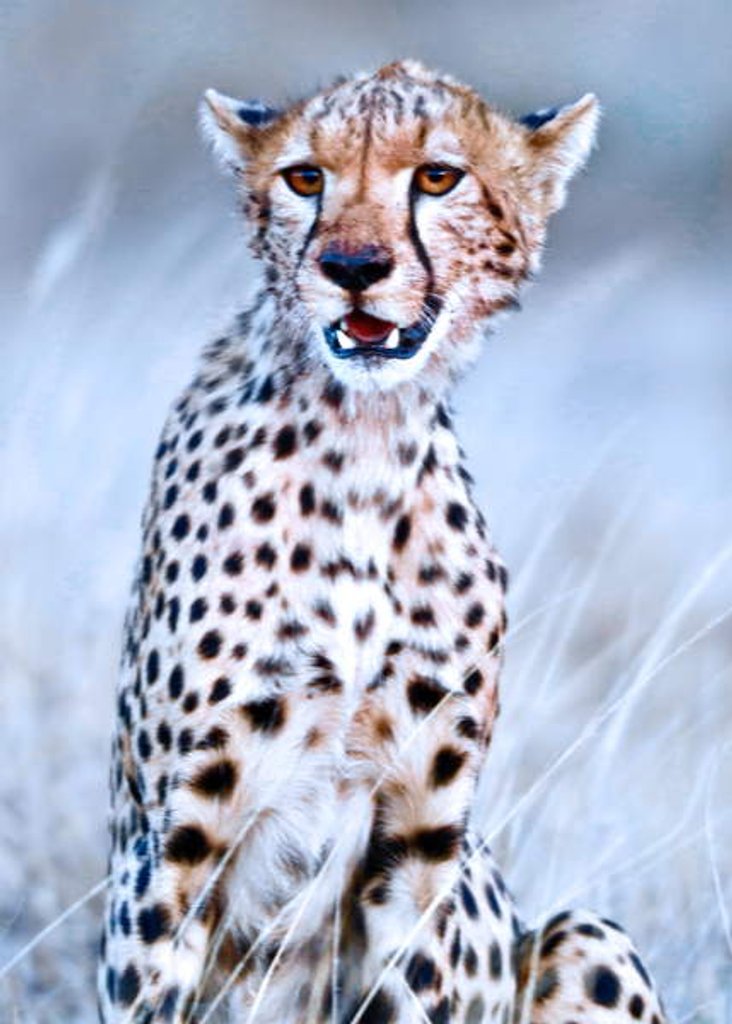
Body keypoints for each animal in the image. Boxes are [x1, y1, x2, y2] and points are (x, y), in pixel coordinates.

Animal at [98, 60, 669, 1024]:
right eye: (305, 178)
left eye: (437, 177)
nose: (353, 267)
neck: (365, 442)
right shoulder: (174, 843)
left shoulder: (419, 842)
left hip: (588, 934)